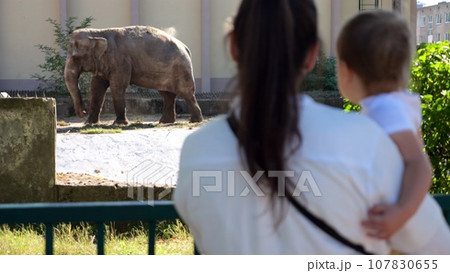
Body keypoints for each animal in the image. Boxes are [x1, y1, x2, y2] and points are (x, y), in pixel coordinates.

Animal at [64, 25, 203, 123]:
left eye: (76, 57)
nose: (83, 111)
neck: (97, 33)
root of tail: (185, 47)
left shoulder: (120, 60)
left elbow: (117, 86)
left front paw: (119, 123)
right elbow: (96, 88)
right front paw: (89, 123)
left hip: (181, 69)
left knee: (186, 93)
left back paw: (195, 121)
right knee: (167, 94)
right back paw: (165, 122)